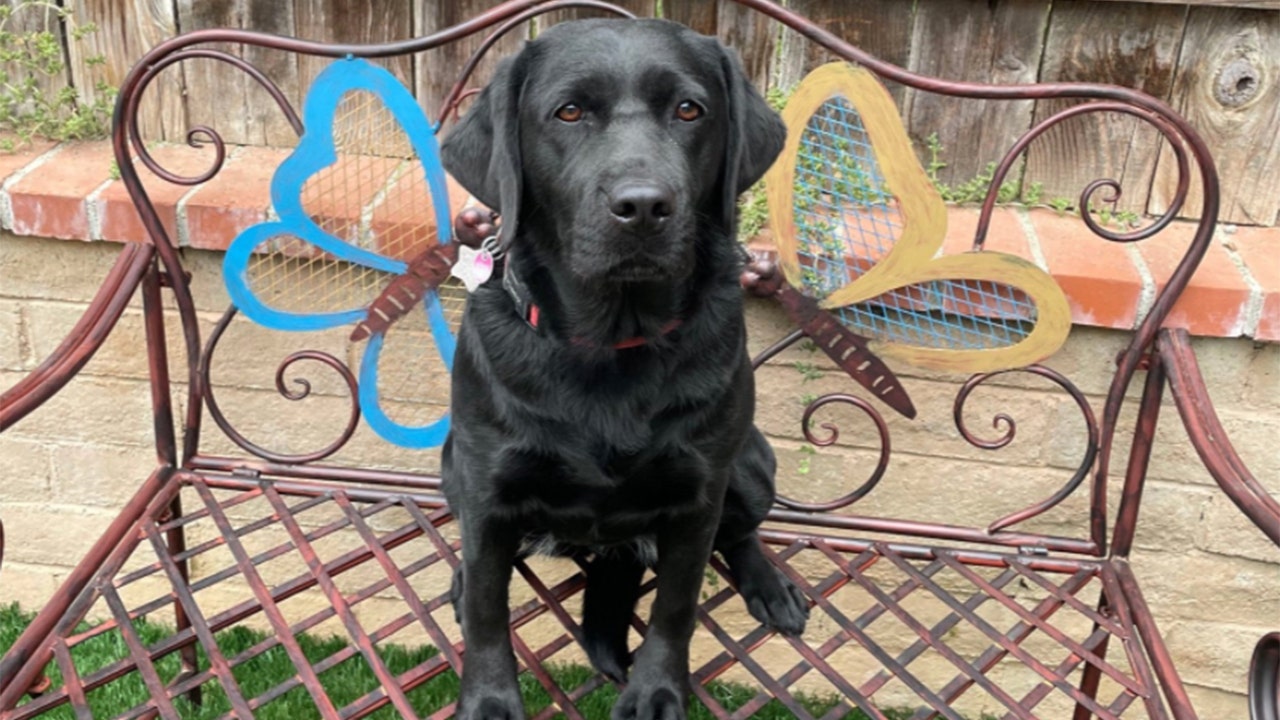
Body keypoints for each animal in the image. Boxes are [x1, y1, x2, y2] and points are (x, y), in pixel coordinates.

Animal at [437, 18, 798, 717]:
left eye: (689, 110)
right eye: (570, 112)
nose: (644, 206)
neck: (611, 346)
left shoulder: (697, 497)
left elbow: (675, 608)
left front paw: (656, 691)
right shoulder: (486, 485)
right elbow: (490, 610)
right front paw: (490, 700)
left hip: (750, 466)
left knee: (739, 535)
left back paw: (770, 585)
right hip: (450, 462)